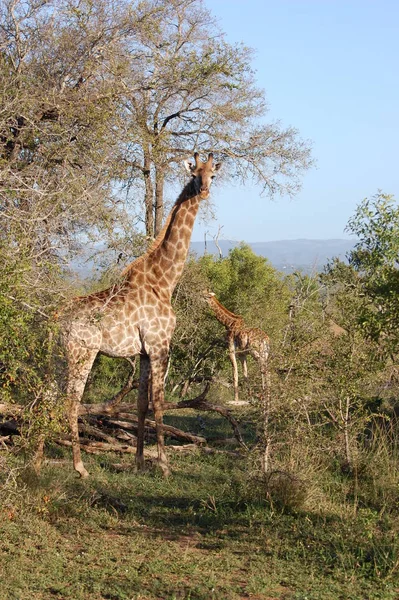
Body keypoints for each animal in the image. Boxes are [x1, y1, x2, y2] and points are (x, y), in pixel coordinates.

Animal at [52, 154, 223, 478]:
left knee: (47, 398)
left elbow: (142, 403)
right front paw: (165, 465)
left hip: (59, 357)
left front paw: (140, 461)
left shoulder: (144, 351)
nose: (205, 191)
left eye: (213, 175)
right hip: (82, 353)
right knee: (70, 402)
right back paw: (80, 467)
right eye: (194, 174)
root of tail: (56, 320)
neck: (164, 280)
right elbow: (159, 402)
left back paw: (38, 458)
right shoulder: (160, 345)